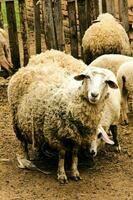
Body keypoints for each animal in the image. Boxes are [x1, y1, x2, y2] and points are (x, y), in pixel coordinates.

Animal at [7, 51, 117, 183]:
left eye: (106, 82)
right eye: (87, 77)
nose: (94, 95)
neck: (72, 100)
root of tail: (46, 53)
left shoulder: (78, 136)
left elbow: (74, 153)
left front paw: (74, 172)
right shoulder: (55, 134)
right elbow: (62, 154)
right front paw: (61, 174)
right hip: (16, 120)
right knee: (23, 142)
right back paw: (27, 159)